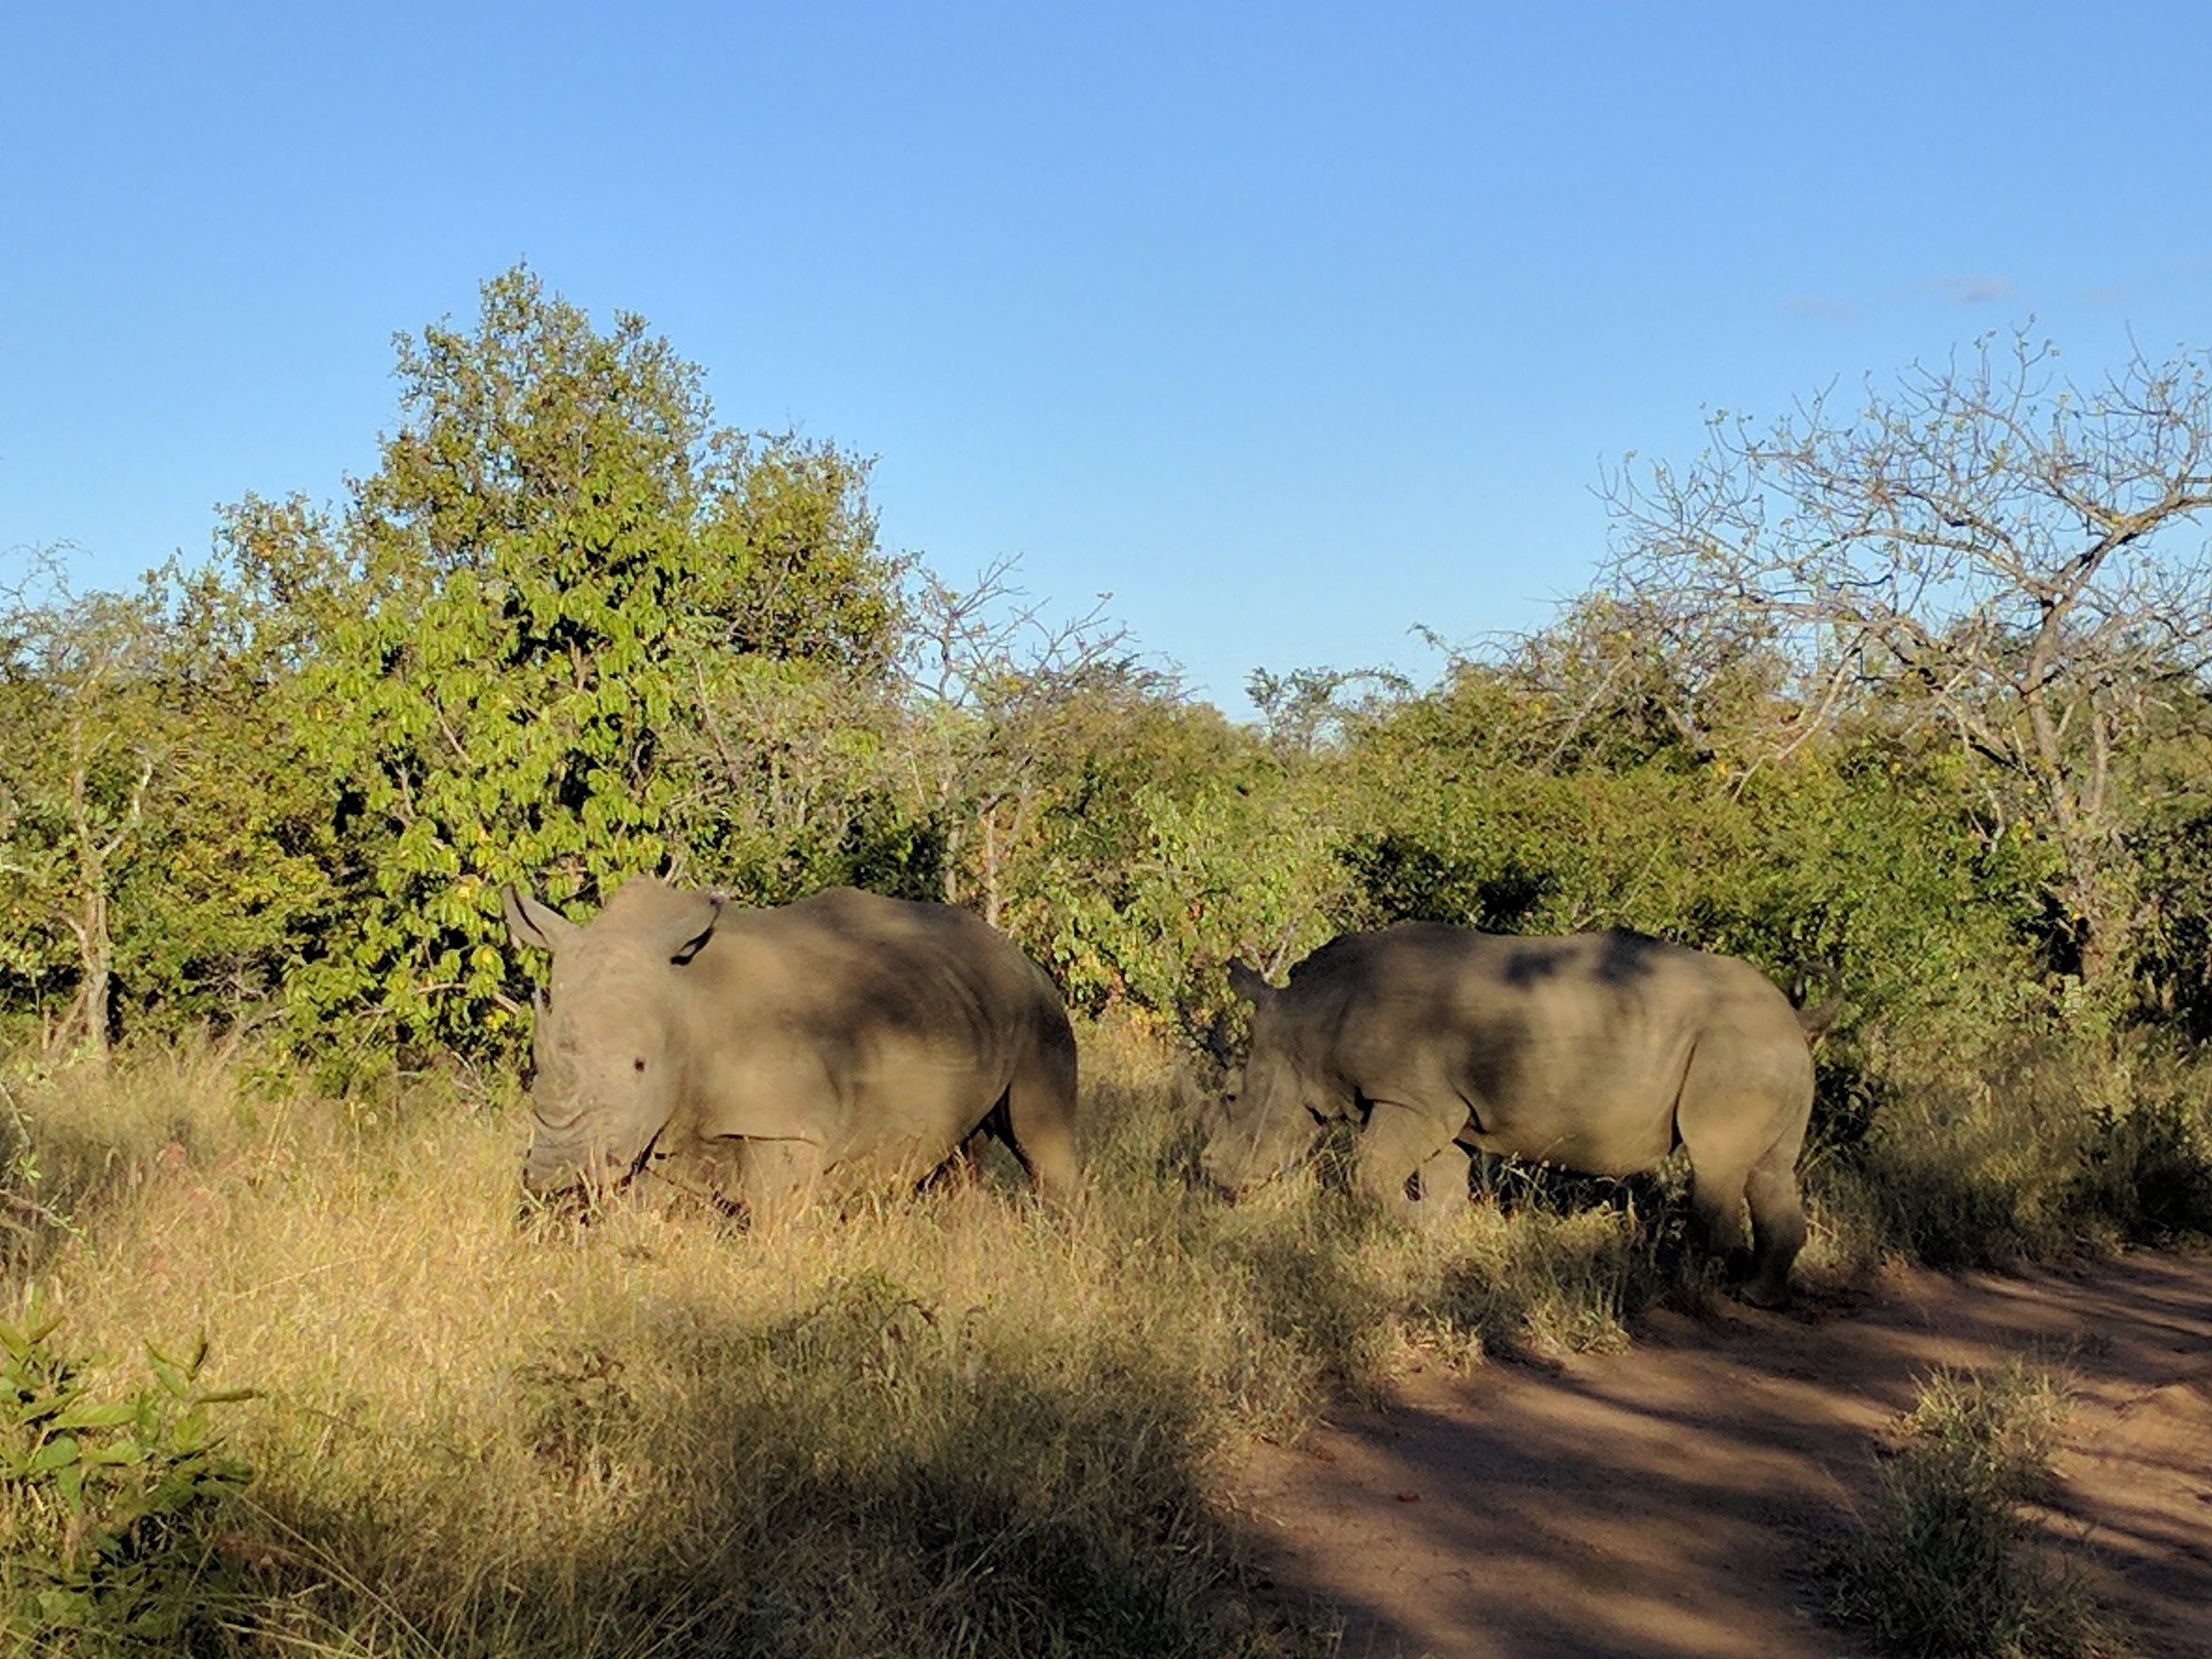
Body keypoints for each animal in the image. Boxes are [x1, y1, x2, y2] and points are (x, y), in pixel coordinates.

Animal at [502, 877, 1079, 1223]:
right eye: (536, 1066)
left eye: (640, 1064)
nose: (555, 1175)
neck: (685, 998)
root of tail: (1016, 951)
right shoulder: (655, 1128)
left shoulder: (784, 1125)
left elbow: (773, 1217)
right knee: (959, 1152)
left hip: (1039, 1006)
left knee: (1039, 1141)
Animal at [1199, 924, 1837, 1306]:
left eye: (1233, 1100)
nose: (1214, 1179)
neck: (1309, 1021)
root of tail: (1794, 1016)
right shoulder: (1443, 1106)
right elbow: (1444, 1180)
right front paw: (1435, 1232)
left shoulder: (1409, 1098)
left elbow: (1372, 1174)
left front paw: (1410, 1224)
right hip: (1764, 1050)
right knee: (1769, 1169)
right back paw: (1756, 1295)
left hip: (1736, 1048)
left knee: (1715, 1164)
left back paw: (1689, 1287)